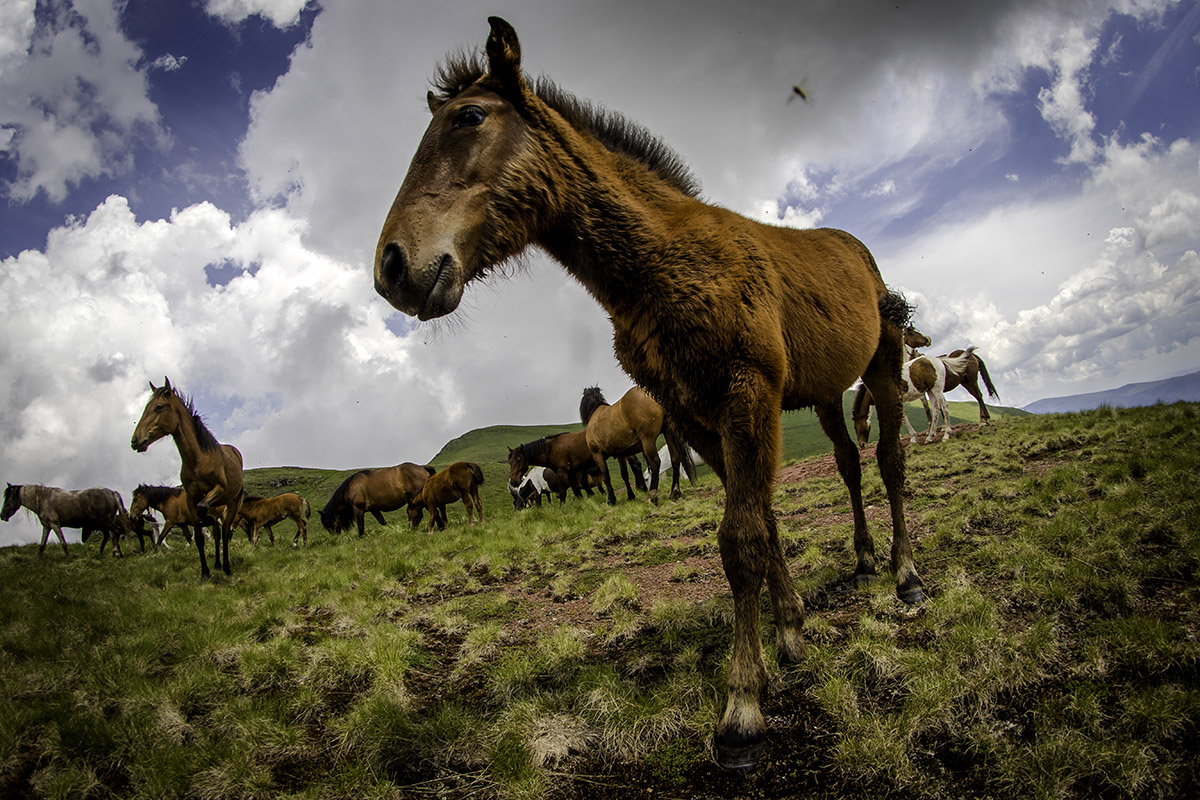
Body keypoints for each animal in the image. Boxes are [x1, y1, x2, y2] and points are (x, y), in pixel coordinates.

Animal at [2, 482, 136, 556]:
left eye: (8, 498)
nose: (2, 515)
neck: (44, 499)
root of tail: (111, 492)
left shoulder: (55, 525)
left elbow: (63, 543)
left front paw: (69, 557)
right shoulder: (47, 526)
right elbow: (42, 545)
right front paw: (38, 560)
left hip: (105, 521)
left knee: (116, 532)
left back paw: (116, 552)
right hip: (108, 521)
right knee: (113, 534)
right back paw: (115, 553)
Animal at [131, 379, 243, 578]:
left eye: (159, 407)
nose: (136, 440)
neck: (198, 460)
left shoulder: (218, 490)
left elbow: (203, 514)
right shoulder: (191, 499)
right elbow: (197, 537)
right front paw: (205, 572)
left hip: (231, 502)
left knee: (224, 531)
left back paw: (227, 567)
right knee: (217, 533)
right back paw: (217, 564)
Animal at [374, 18, 926, 767]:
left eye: (470, 117)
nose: (392, 267)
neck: (661, 264)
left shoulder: (745, 394)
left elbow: (741, 539)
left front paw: (742, 705)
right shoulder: (696, 416)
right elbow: (762, 522)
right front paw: (791, 631)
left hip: (884, 365)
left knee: (891, 461)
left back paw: (905, 576)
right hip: (821, 393)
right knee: (847, 462)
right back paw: (866, 561)